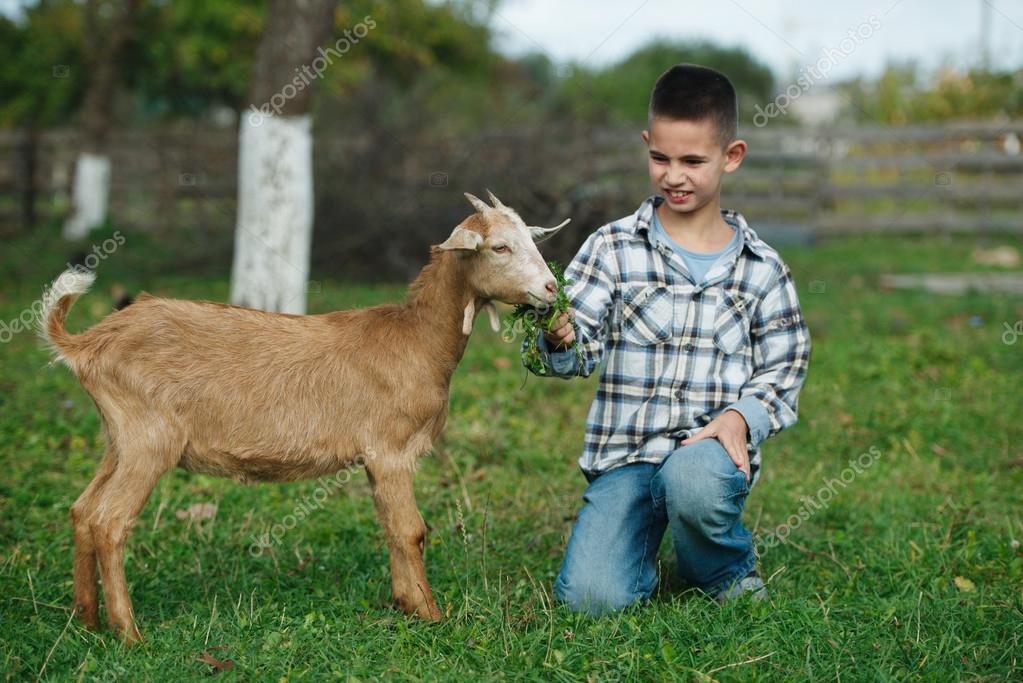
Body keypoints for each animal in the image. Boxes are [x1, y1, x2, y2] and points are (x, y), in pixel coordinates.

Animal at [39, 192, 569, 643]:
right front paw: (432, 615)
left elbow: (390, 526)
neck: (414, 340)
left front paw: (404, 605)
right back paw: (129, 634)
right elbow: (412, 530)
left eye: (531, 240)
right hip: (148, 440)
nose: (550, 288)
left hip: (119, 438)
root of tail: (86, 344)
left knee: (82, 510)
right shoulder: (392, 450)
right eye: (499, 246)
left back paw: (87, 622)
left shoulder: (377, 459)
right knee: (109, 522)